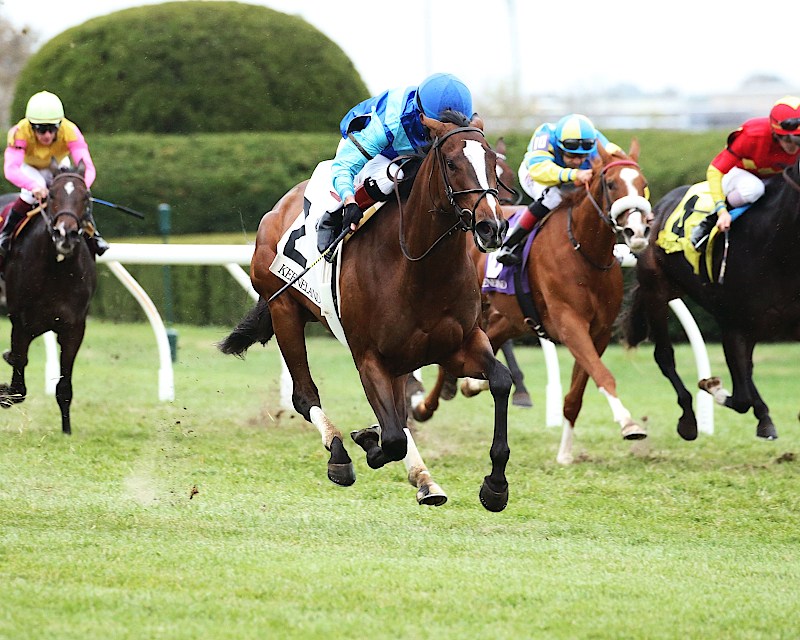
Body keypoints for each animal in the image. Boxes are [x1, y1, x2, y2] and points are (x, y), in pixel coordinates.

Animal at [0, 159, 97, 434]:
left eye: (85, 196)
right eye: (51, 194)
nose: (66, 233)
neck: (56, 269)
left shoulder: (73, 328)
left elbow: (64, 387)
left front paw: (67, 430)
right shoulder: (21, 324)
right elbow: (18, 385)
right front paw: (4, 390)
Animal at [219, 113, 514, 511]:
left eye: (493, 164)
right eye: (452, 163)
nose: (492, 226)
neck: (417, 266)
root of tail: (279, 207)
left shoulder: (458, 345)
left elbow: (500, 381)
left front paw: (495, 485)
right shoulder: (369, 356)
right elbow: (391, 437)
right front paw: (366, 441)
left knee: (399, 413)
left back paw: (425, 480)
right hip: (284, 311)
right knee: (305, 395)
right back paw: (339, 454)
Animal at [412, 141, 652, 464]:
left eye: (643, 184)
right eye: (612, 184)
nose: (637, 232)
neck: (585, 250)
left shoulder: (599, 332)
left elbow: (576, 394)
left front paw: (565, 454)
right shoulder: (570, 324)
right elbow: (603, 374)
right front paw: (628, 423)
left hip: (512, 317)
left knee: (493, 338)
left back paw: (472, 384)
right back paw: (424, 407)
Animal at [623, 157, 800, 441]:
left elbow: (744, 382)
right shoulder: (732, 324)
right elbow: (740, 397)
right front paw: (713, 386)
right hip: (657, 293)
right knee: (664, 355)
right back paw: (688, 420)